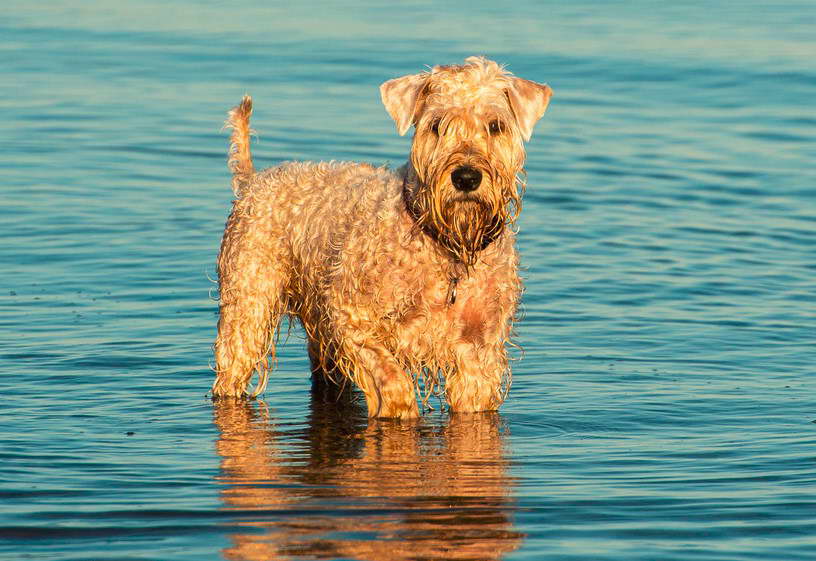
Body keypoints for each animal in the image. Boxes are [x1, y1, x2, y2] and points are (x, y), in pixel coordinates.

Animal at [212, 57, 556, 418]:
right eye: (436, 125)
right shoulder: (350, 318)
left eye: (495, 125)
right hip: (247, 308)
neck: (447, 251)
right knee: (233, 366)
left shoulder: (478, 351)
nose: (466, 177)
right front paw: (396, 406)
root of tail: (252, 181)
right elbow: (392, 379)